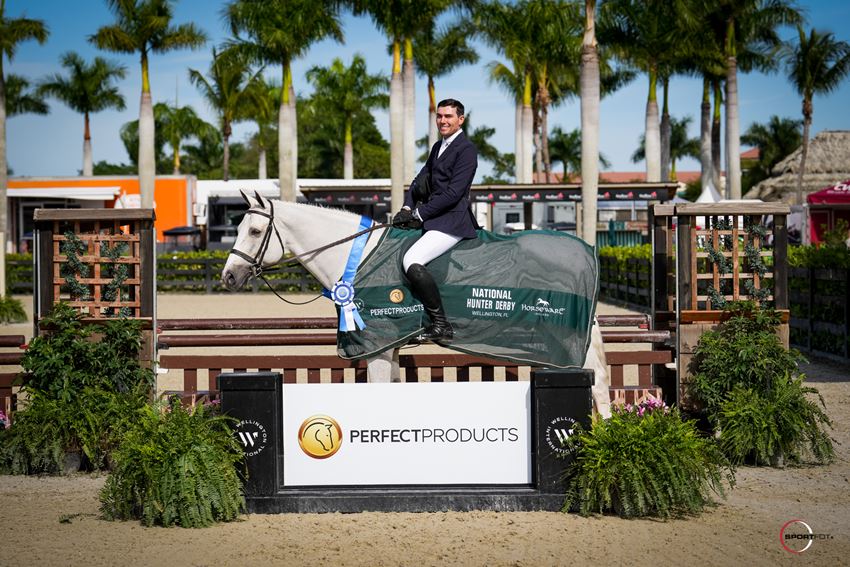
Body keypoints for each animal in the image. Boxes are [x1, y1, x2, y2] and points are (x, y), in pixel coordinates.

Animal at [219, 193, 608, 420]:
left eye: (255, 231)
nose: (228, 277)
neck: (357, 255)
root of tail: (588, 251)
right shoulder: (388, 345)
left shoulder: (376, 343)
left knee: (599, 386)